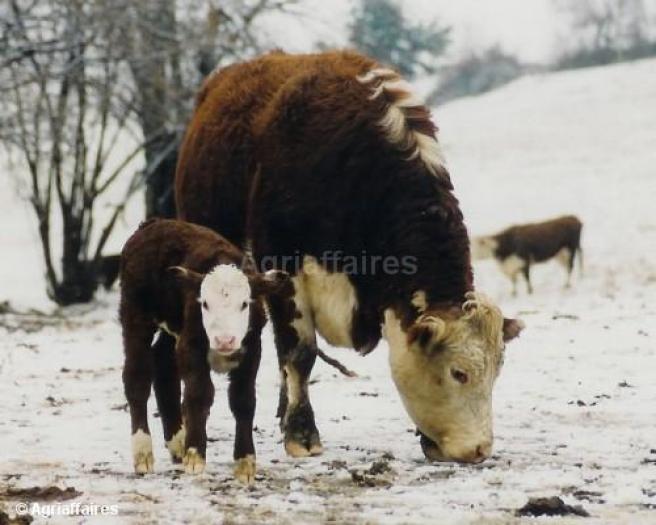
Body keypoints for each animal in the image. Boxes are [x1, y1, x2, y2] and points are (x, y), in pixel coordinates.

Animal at [120, 217, 290, 484]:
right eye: (206, 304)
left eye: (244, 304)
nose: (225, 340)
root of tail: (151, 223)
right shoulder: (191, 346)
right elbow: (199, 394)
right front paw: (195, 457)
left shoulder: (252, 348)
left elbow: (243, 400)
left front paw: (245, 462)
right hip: (135, 314)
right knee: (137, 376)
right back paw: (143, 454)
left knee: (163, 364)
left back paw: (177, 443)